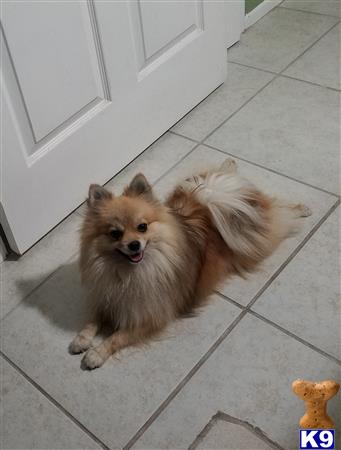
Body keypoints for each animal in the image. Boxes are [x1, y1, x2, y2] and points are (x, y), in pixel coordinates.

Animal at [69, 158, 310, 370]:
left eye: (142, 227)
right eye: (115, 234)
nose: (134, 245)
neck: (127, 273)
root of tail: (210, 200)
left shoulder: (151, 317)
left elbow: (117, 337)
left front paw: (96, 353)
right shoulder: (107, 298)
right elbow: (92, 320)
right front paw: (82, 339)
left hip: (260, 234)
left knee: (280, 212)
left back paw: (302, 209)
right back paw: (229, 164)